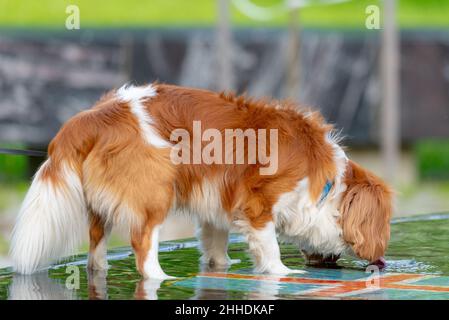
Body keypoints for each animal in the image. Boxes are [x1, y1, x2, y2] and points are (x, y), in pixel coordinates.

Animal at [8, 84, 390, 278]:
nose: (379, 261)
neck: (325, 181)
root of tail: (93, 116)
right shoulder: (257, 205)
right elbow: (269, 247)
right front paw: (281, 272)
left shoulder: (216, 200)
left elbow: (214, 242)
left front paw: (222, 266)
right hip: (155, 192)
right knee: (142, 244)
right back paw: (160, 278)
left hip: (101, 207)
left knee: (96, 243)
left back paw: (100, 268)